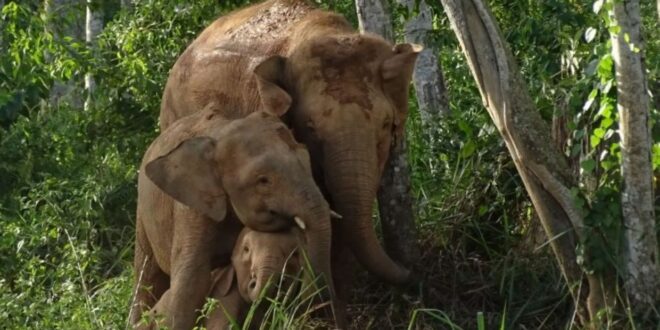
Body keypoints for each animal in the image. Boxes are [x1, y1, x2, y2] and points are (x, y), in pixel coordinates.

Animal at [131, 104, 336, 328]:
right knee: (147, 273)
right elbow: (192, 278)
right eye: (263, 180)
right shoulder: (192, 207)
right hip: (142, 215)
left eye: (307, 165)